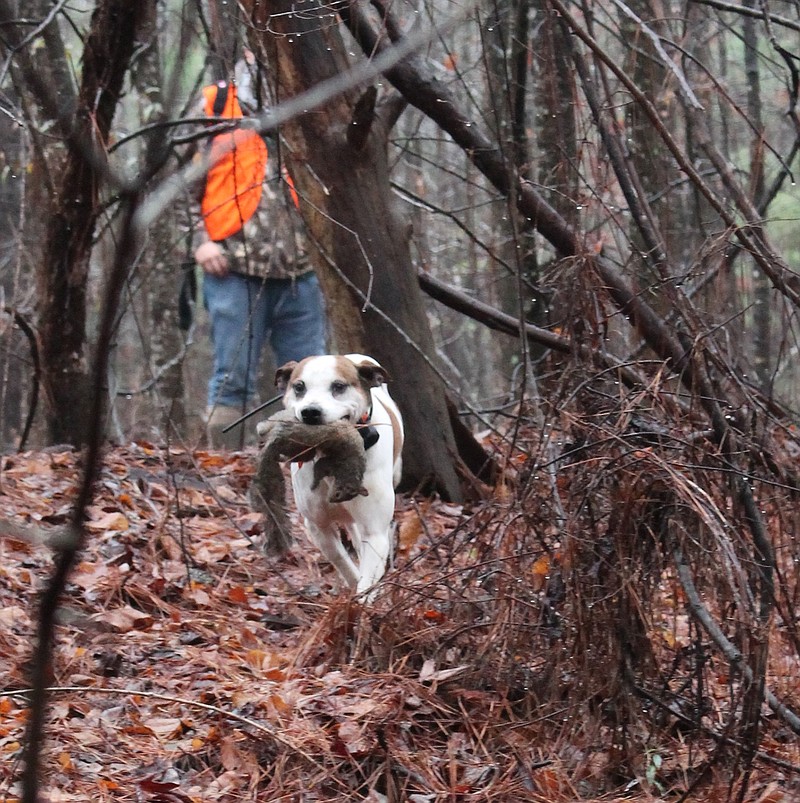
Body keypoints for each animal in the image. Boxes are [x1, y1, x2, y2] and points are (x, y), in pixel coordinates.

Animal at [276, 356, 406, 596]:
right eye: (299, 387)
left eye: (338, 386)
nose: (310, 412)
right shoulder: (317, 525)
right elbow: (340, 559)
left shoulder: (375, 531)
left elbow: (368, 574)